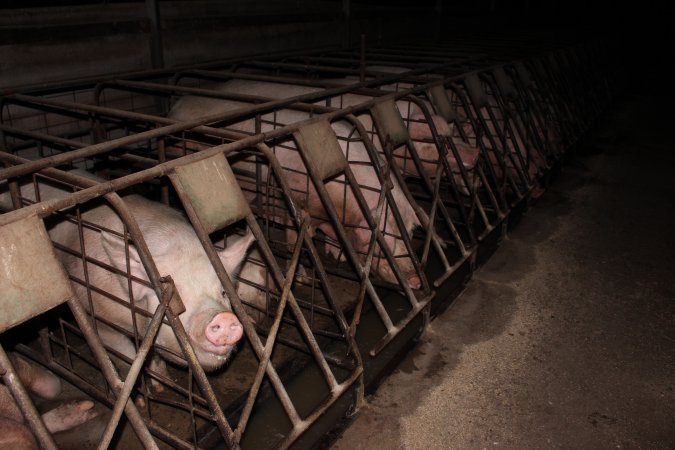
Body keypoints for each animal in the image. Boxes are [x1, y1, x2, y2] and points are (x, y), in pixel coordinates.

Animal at [0, 176, 256, 386]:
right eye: (177, 298)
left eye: (223, 292)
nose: (224, 318)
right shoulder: (101, 317)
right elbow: (126, 356)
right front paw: (151, 391)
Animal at [169, 85, 426, 288]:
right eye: (385, 237)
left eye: (409, 232)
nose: (416, 280)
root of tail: (178, 103)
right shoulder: (290, 205)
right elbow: (297, 244)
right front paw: (303, 280)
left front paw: (339, 256)